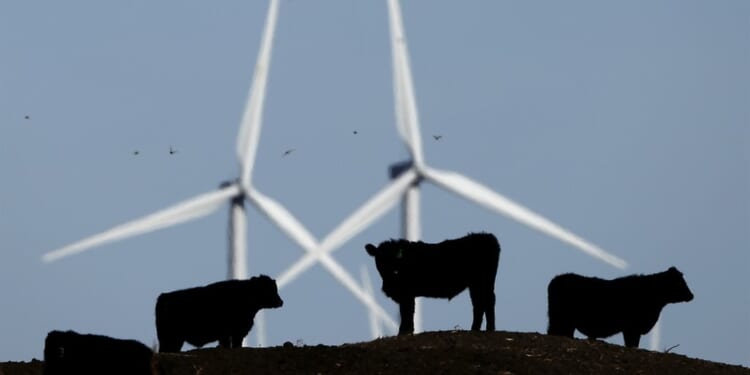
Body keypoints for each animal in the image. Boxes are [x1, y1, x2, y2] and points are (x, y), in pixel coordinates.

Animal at [154, 276, 284, 352]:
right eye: (270, 289)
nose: (281, 302)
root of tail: (164, 296)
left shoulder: (231, 334)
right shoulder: (232, 332)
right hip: (170, 338)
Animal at [368, 232, 502, 334]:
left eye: (394, 259)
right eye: (380, 260)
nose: (393, 272)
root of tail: (487, 236)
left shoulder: (407, 294)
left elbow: (407, 312)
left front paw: (404, 332)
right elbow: (407, 312)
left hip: (483, 282)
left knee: (487, 301)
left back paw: (489, 329)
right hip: (477, 284)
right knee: (479, 303)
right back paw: (476, 329)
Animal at [548, 268, 696, 350]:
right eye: (680, 283)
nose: (691, 295)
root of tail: (558, 278)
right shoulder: (632, 328)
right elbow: (632, 344)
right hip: (561, 320)